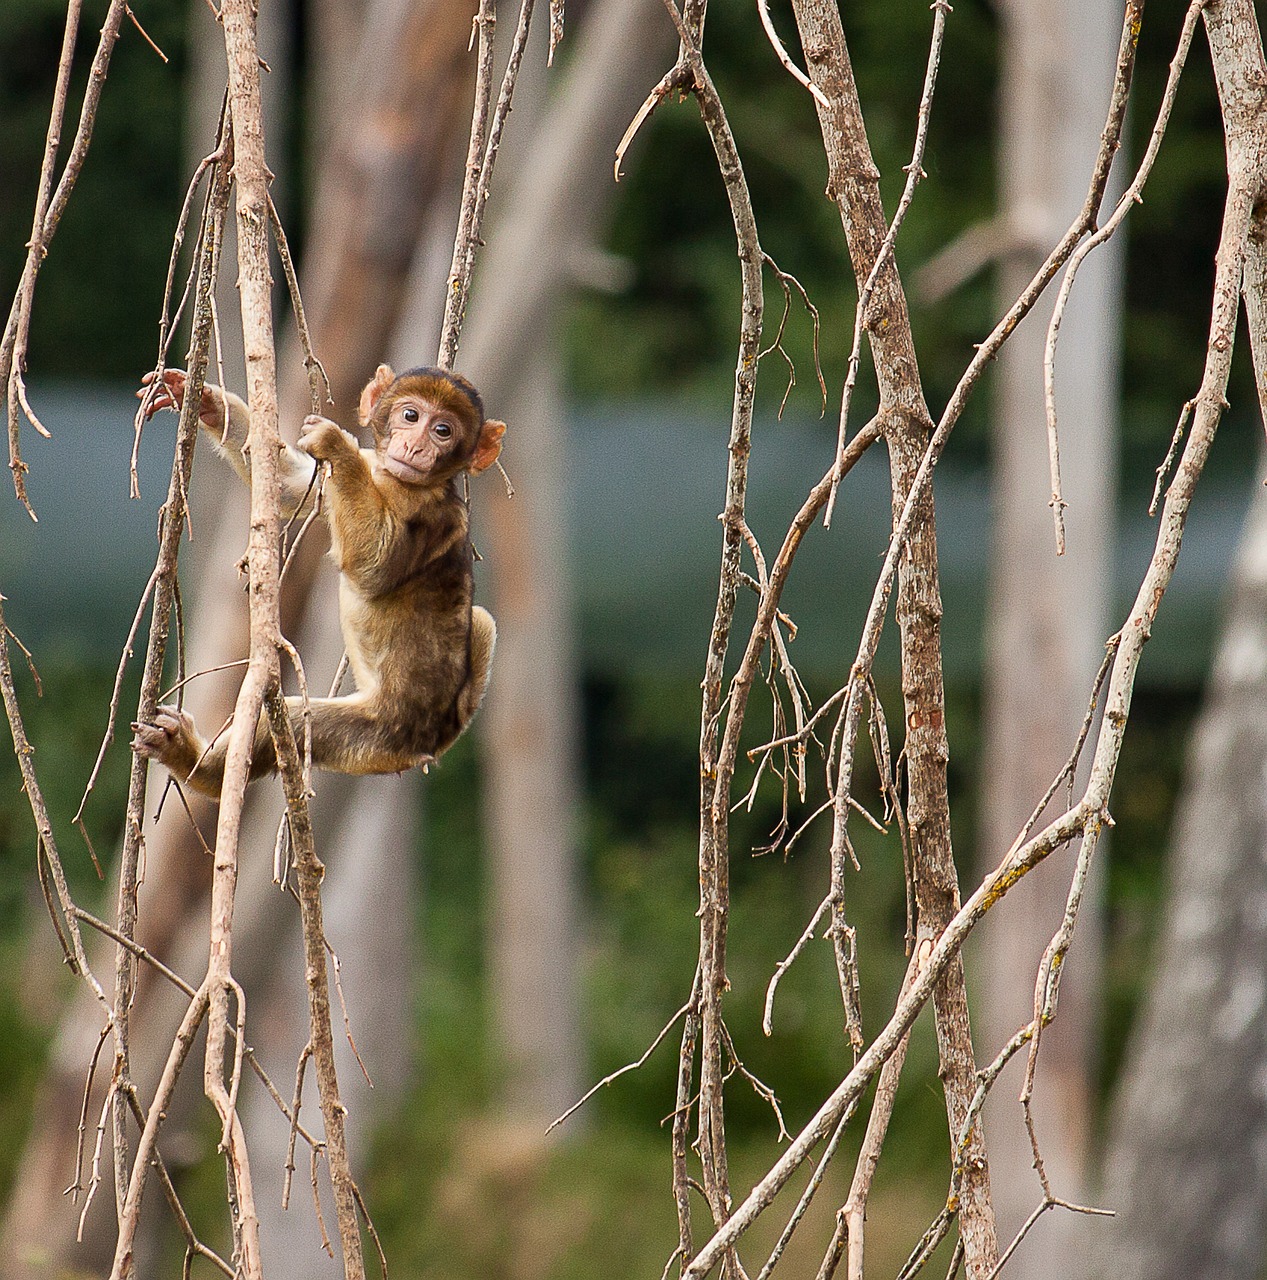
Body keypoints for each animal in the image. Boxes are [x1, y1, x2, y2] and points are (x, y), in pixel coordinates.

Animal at [129, 363, 506, 798]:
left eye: (443, 430)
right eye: (411, 416)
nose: (415, 446)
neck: (395, 479)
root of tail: (424, 748)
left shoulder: (428, 511)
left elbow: (372, 566)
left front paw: (334, 442)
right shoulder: (372, 461)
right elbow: (290, 487)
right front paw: (204, 399)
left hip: (374, 735)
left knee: (295, 719)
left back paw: (198, 765)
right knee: (481, 621)